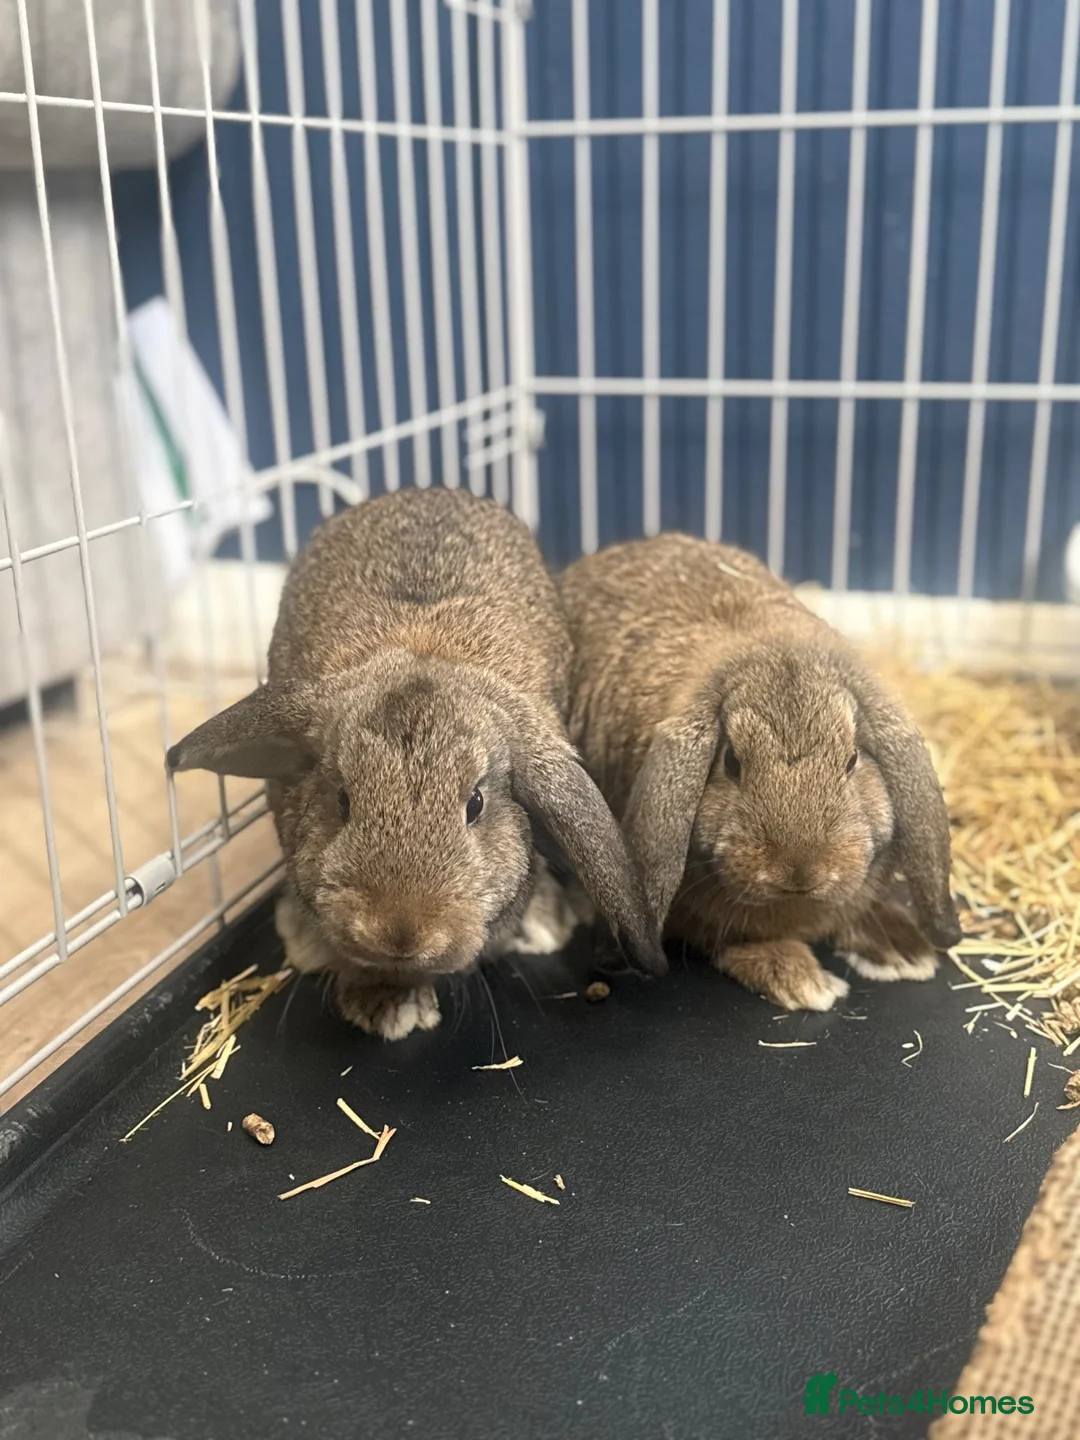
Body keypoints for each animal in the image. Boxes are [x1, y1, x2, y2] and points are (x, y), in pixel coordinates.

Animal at [560, 533, 961, 1013]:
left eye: (852, 759)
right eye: (731, 761)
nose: (800, 871)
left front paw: (903, 950)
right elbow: (738, 942)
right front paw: (801, 980)